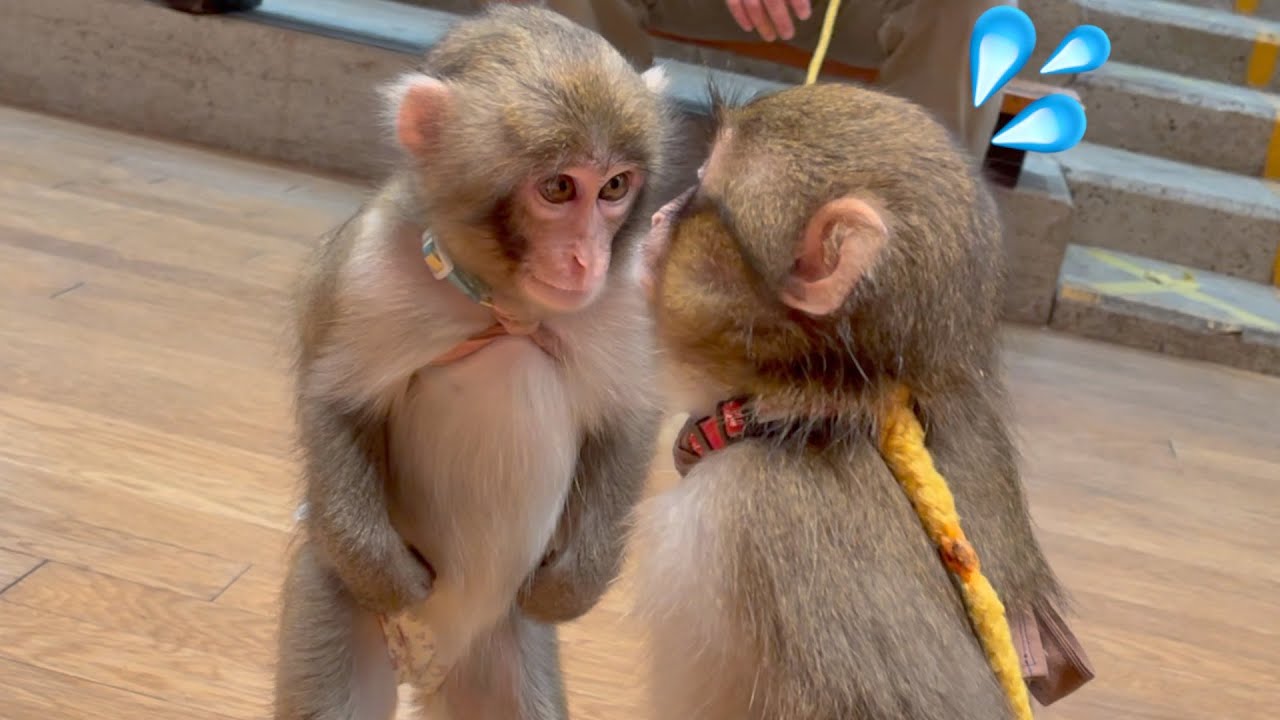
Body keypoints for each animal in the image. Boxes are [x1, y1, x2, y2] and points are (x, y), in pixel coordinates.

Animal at [272, 6, 674, 719]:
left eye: (615, 187)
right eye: (559, 187)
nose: (586, 261)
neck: (503, 303)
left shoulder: (624, 300)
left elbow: (628, 421)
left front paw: (573, 585)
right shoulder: (365, 272)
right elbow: (335, 403)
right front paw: (390, 576)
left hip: (502, 640)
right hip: (332, 598)